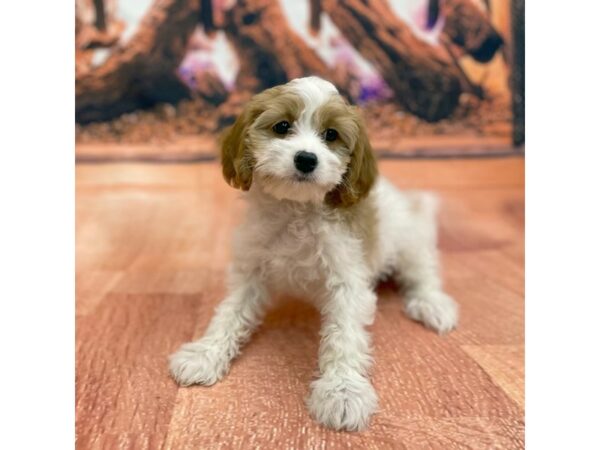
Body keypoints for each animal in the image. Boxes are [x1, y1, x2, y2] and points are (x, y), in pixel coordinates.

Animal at [169, 75, 460, 430]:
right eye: (282, 126)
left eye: (331, 135)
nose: (306, 159)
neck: (297, 210)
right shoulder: (252, 269)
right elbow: (229, 313)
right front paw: (205, 353)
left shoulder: (346, 280)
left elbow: (344, 336)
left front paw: (343, 391)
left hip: (409, 240)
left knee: (423, 273)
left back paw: (432, 304)